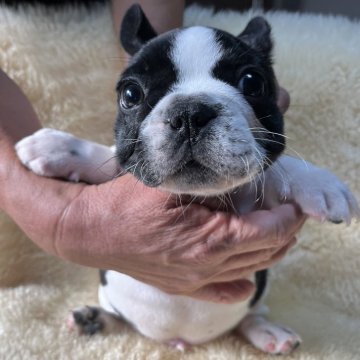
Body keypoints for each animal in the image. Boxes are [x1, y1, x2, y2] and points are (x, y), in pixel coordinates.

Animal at [15, 4, 358, 356]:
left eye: (252, 82)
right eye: (130, 93)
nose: (190, 114)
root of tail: (179, 341)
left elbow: (276, 168)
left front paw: (320, 184)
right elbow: (106, 156)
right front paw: (56, 146)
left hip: (260, 290)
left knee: (250, 317)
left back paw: (267, 331)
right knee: (122, 319)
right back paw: (95, 319)